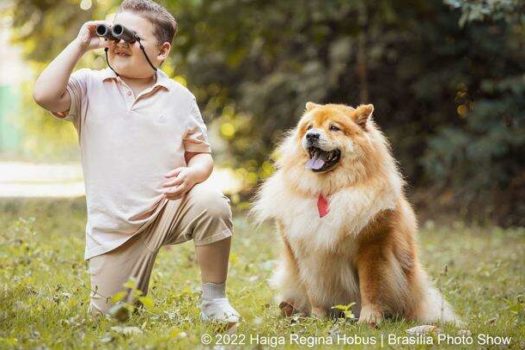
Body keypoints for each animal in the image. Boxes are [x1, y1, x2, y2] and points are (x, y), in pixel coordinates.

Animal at [253, 101, 458, 326]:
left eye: (334, 128)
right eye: (309, 127)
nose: (312, 136)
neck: (328, 191)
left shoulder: (372, 247)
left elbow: (370, 287)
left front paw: (369, 319)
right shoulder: (306, 252)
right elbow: (314, 291)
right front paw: (318, 318)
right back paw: (288, 309)